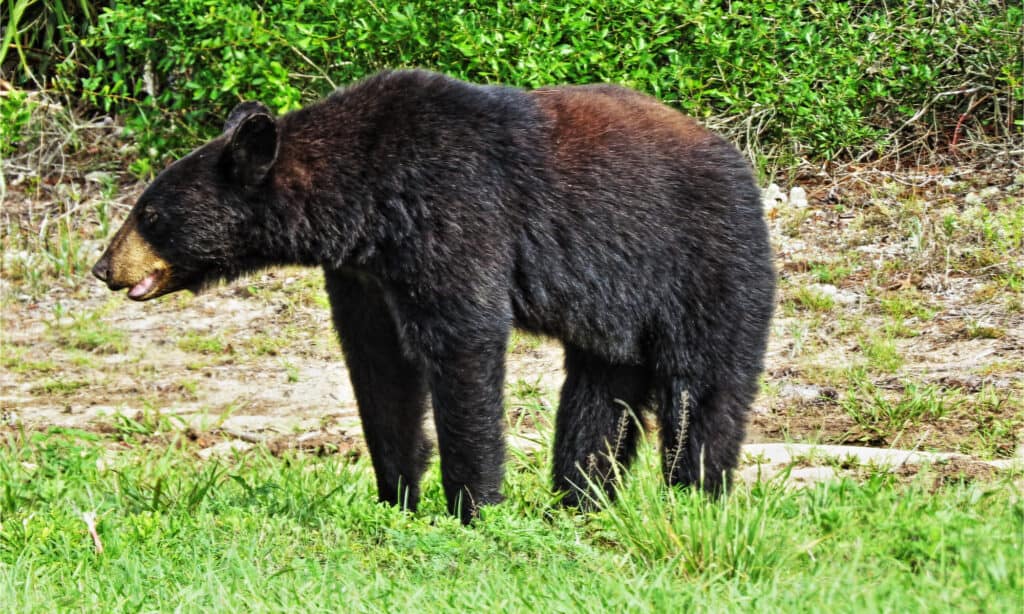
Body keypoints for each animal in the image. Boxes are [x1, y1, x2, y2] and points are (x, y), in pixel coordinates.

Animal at [96, 70, 770, 521]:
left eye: (149, 213)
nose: (103, 267)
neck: (364, 195)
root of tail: (739, 162)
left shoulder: (453, 210)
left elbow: (463, 341)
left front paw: (473, 507)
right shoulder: (364, 273)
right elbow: (378, 365)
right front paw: (395, 497)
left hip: (701, 261)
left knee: (703, 387)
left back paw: (694, 498)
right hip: (614, 311)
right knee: (599, 397)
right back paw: (577, 501)